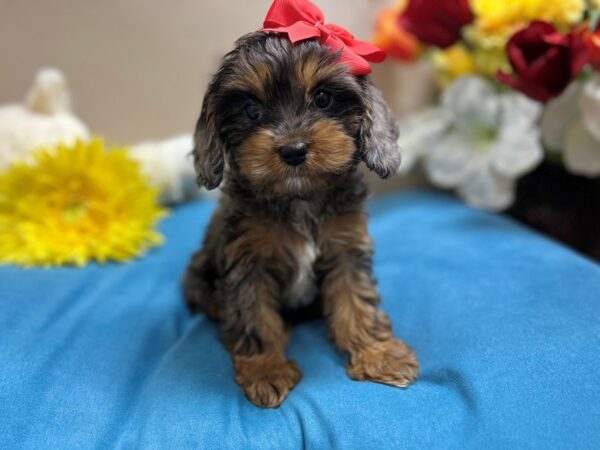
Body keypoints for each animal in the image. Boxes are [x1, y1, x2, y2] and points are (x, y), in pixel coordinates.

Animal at [185, 31, 420, 408]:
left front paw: (378, 354)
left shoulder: (345, 246)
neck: (299, 198)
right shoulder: (248, 262)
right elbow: (254, 316)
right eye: (252, 110)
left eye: (323, 98)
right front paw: (266, 368)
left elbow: (357, 299)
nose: (293, 150)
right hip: (197, 272)